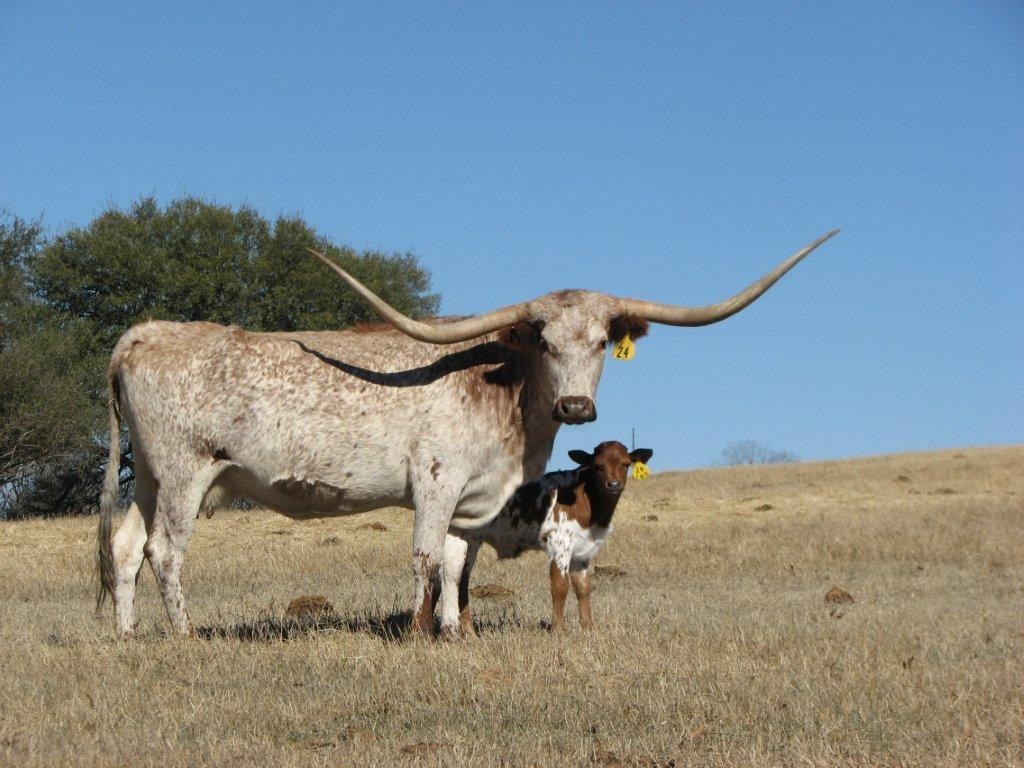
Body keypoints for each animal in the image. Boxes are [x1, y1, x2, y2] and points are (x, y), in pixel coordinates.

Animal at [444, 441, 652, 634]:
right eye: (597, 465)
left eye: (626, 464)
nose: (614, 484)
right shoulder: (559, 544)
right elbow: (560, 586)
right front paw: (559, 630)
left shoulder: (582, 550)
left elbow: (583, 587)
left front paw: (588, 628)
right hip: (467, 539)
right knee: (460, 579)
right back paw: (468, 630)